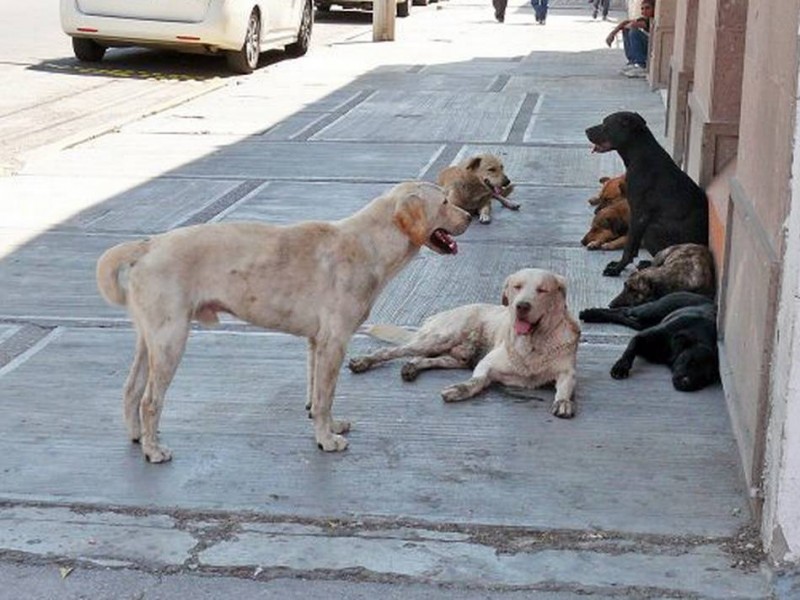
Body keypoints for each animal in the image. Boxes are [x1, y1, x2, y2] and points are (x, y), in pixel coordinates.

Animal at [96, 180, 472, 462]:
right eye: (444, 201)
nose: (469, 215)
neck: (369, 245)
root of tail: (147, 245)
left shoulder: (317, 343)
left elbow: (317, 394)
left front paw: (330, 426)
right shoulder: (335, 341)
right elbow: (325, 396)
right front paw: (326, 440)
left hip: (150, 339)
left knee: (131, 389)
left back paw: (138, 437)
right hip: (171, 339)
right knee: (150, 400)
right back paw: (154, 450)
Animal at [346, 268, 580, 418]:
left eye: (542, 290)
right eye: (517, 287)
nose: (521, 306)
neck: (533, 343)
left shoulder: (567, 372)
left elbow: (565, 388)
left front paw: (563, 402)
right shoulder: (486, 364)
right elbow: (477, 381)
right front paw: (460, 389)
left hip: (456, 358)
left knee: (425, 359)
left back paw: (411, 368)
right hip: (440, 338)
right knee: (391, 350)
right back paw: (363, 361)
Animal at [580, 292, 720, 394]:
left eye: (706, 378)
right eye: (690, 361)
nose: (687, 383)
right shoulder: (642, 337)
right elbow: (630, 350)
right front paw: (621, 367)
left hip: (642, 323)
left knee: (624, 317)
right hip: (651, 310)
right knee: (625, 310)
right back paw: (590, 314)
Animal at [584, 112, 708, 276]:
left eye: (606, 124)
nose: (586, 130)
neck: (640, 153)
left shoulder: (639, 215)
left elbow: (629, 246)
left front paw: (617, 268)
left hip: (651, 230)